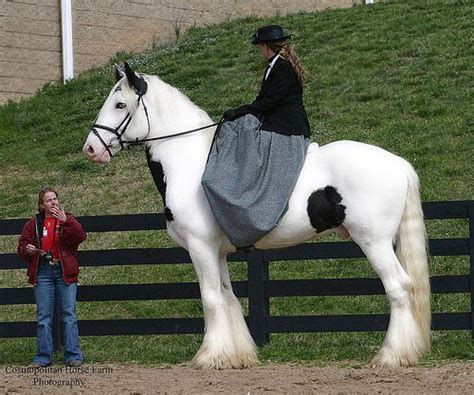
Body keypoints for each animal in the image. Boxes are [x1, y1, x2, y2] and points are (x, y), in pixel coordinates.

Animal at [83, 63, 432, 370]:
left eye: (119, 104)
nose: (90, 149)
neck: (190, 164)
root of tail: (399, 164)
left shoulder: (200, 248)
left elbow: (210, 299)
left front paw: (209, 357)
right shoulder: (217, 252)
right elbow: (228, 296)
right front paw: (235, 356)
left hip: (374, 242)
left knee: (399, 288)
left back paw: (391, 356)